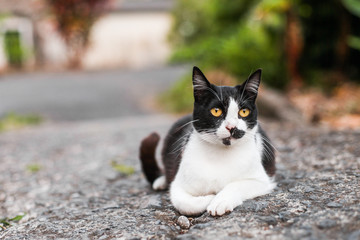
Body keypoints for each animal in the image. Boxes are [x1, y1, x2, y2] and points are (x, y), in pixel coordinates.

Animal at [139, 66, 274, 217]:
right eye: (216, 111)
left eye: (244, 112)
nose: (232, 127)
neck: (221, 154)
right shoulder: (178, 186)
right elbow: (185, 203)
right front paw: (210, 197)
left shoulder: (262, 180)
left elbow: (236, 185)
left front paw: (220, 200)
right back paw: (161, 181)